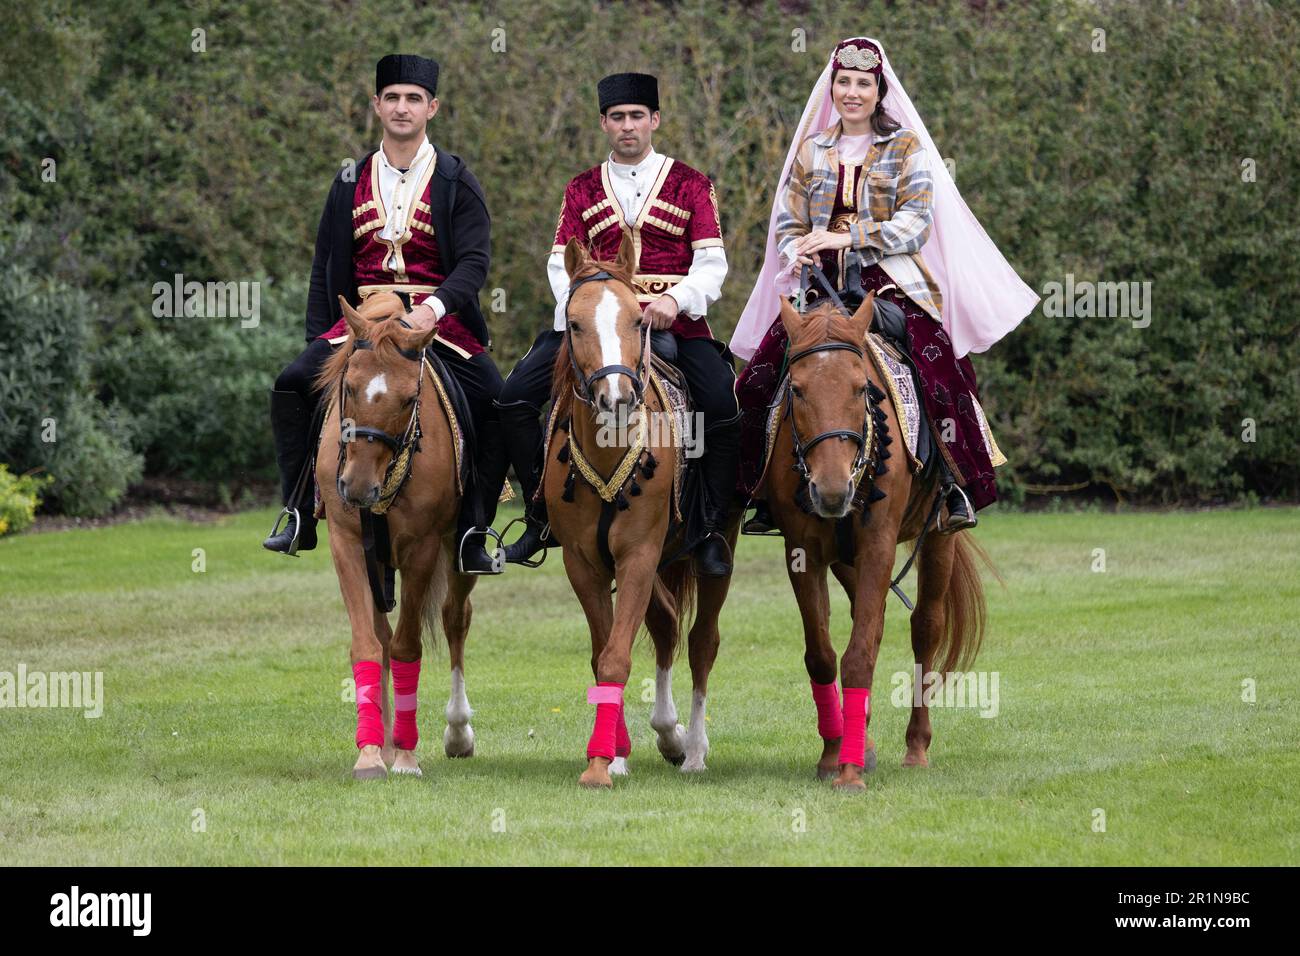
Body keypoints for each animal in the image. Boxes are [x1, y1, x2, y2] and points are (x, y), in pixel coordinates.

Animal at [314, 295, 483, 780]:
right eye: (349, 387)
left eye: (410, 399)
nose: (356, 488)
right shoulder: (346, 544)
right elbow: (368, 644)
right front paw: (372, 753)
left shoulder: (422, 547)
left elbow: (408, 647)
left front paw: (407, 756)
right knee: (384, 634)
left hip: (457, 552)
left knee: (454, 618)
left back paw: (457, 732)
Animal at [543, 235, 738, 790]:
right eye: (576, 322)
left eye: (637, 320)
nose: (618, 398)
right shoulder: (584, 563)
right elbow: (603, 651)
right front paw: (612, 754)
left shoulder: (637, 554)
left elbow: (615, 657)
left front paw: (599, 764)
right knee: (667, 626)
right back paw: (665, 736)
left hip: (713, 552)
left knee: (701, 641)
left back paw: (693, 749)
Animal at [764, 293, 987, 790]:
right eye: (797, 390)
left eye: (860, 389)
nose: (831, 491)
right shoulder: (802, 552)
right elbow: (823, 655)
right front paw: (835, 754)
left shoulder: (879, 545)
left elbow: (860, 655)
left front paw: (848, 772)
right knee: (875, 622)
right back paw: (860, 736)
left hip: (938, 537)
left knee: (925, 628)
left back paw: (916, 746)